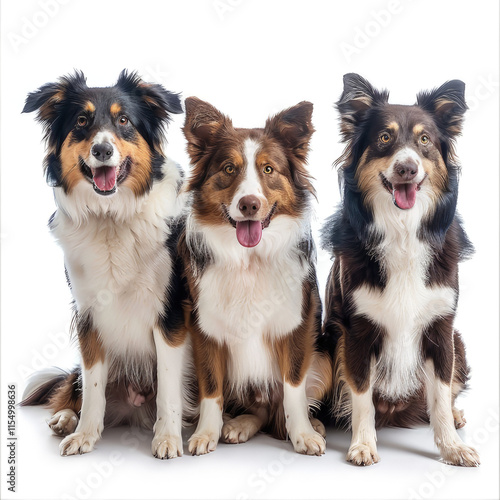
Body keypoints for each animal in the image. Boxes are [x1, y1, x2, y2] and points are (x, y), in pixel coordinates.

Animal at [20, 71, 191, 460]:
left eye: (124, 121)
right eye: (82, 122)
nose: (102, 150)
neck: (112, 216)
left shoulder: (171, 315)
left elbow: (169, 386)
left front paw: (168, 438)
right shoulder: (87, 313)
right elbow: (93, 385)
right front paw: (85, 434)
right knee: (75, 388)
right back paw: (65, 419)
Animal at [178, 98, 330, 458]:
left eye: (268, 169)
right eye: (228, 169)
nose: (249, 204)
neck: (250, 260)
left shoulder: (297, 324)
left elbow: (293, 388)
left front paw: (303, 434)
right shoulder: (204, 328)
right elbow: (211, 389)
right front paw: (206, 433)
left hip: (327, 360)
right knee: (258, 409)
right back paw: (238, 425)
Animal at [320, 72, 480, 466]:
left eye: (424, 140)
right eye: (384, 138)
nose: (407, 167)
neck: (403, 230)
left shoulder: (440, 329)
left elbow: (439, 395)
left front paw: (451, 447)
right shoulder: (356, 332)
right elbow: (362, 397)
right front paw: (363, 444)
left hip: (459, 341)